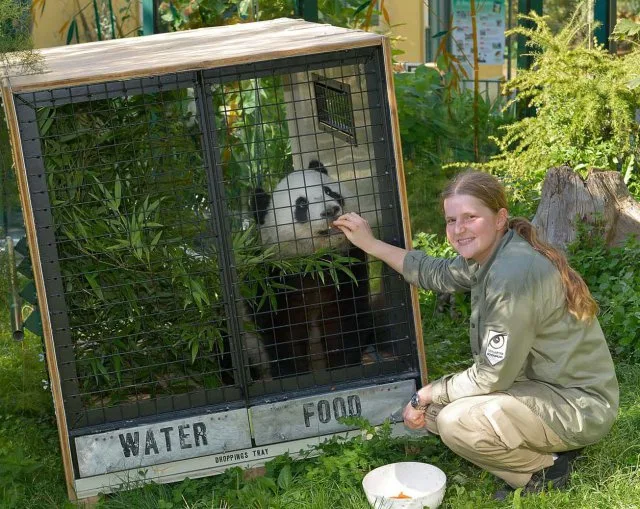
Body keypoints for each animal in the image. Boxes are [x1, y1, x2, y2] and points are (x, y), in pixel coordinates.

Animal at [246, 160, 374, 378]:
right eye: (301, 204)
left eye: (328, 191)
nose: (330, 211)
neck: (314, 263)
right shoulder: (273, 280)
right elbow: (285, 333)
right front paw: (293, 375)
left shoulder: (345, 269)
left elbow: (341, 321)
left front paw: (343, 368)